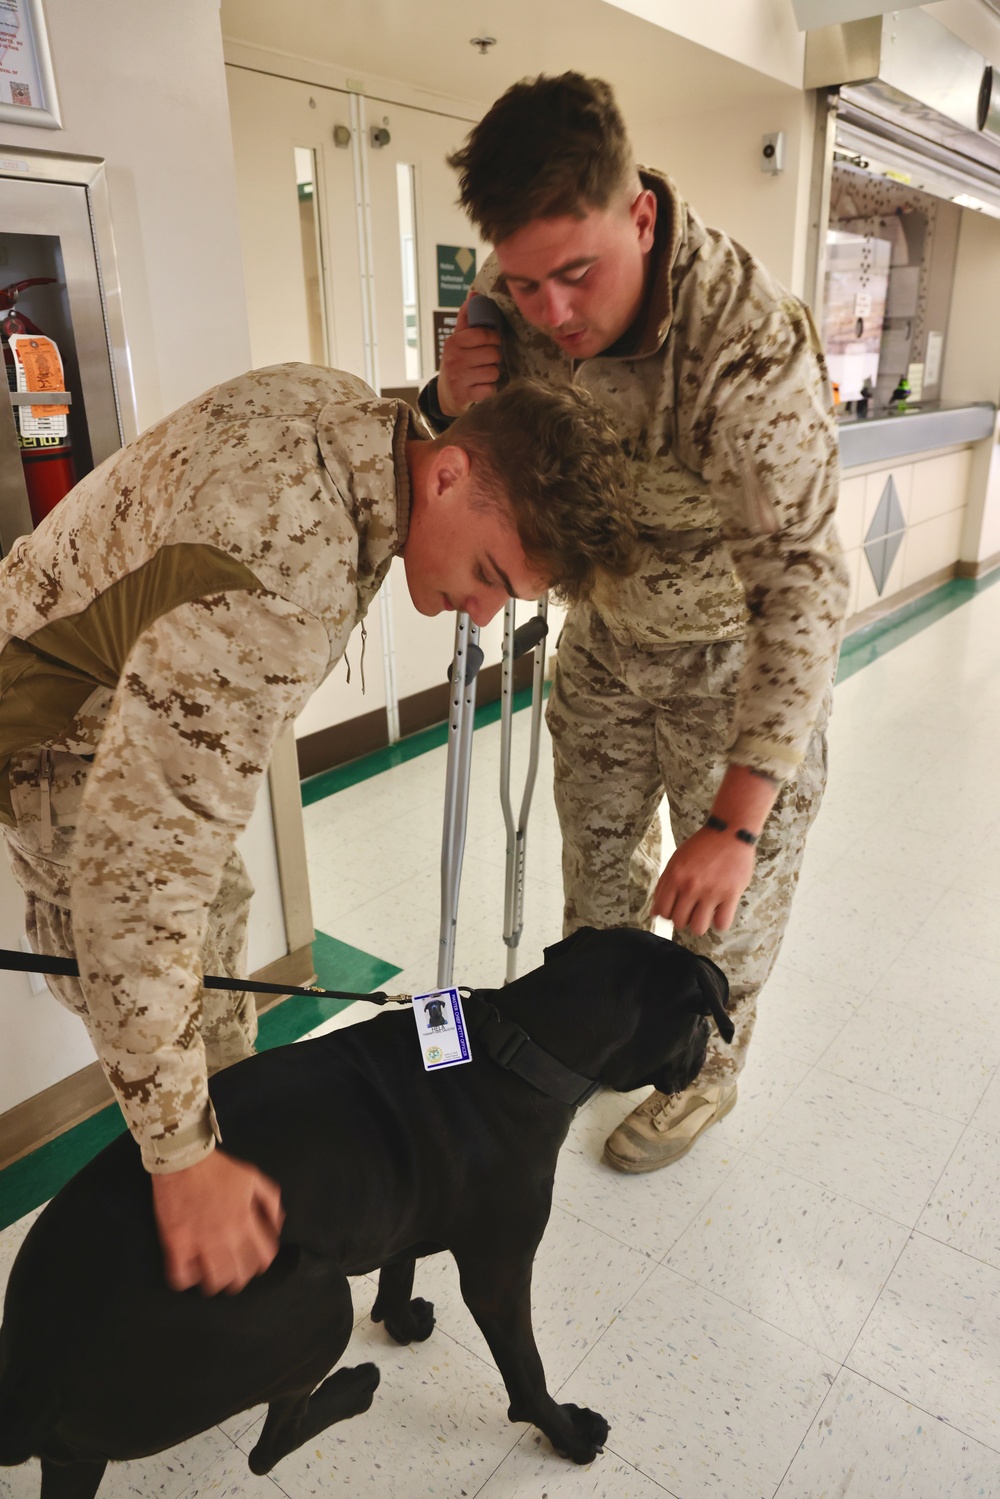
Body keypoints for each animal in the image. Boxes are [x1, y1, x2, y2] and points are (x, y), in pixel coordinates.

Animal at [0, 929, 731, 1493]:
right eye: (702, 1018)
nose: (707, 1058)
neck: (522, 1050)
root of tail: (29, 1375)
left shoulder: (401, 1205)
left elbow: (398, 1267)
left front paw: (399, 1319)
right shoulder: (499, 1275)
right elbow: (528, 1374)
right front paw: (569, 1434)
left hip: (77, 1456)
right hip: (312, 1298)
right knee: (269, 1448)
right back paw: (353, 1388)